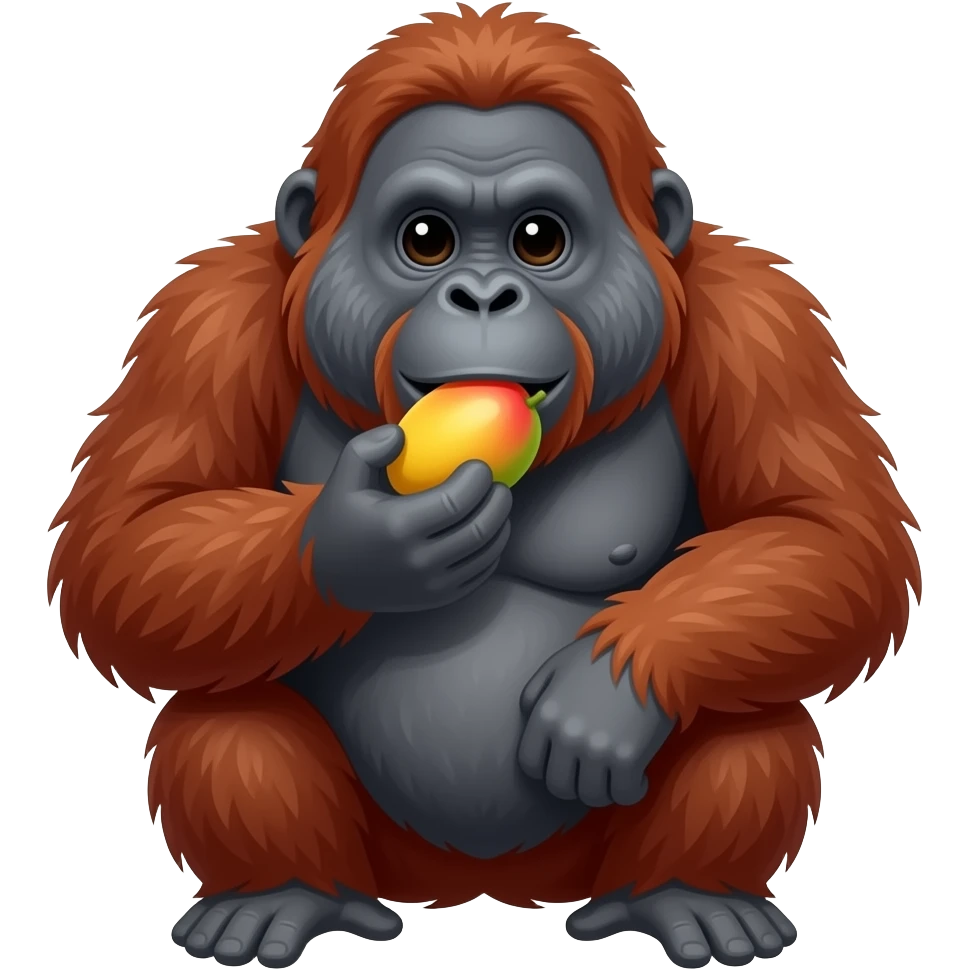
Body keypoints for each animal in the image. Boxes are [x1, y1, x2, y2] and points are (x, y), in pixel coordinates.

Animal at [46, 4, 921, 969]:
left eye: (540, 239)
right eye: (426, 239)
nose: (484, 293)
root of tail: (477, 884)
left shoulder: (757, 324)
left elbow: (823, 533)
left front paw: (605, 692)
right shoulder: (208, 323)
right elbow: (132, 540)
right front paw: (360, 544)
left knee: (753, 713)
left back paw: (685, 896)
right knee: (222, 698)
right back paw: (284, 896)